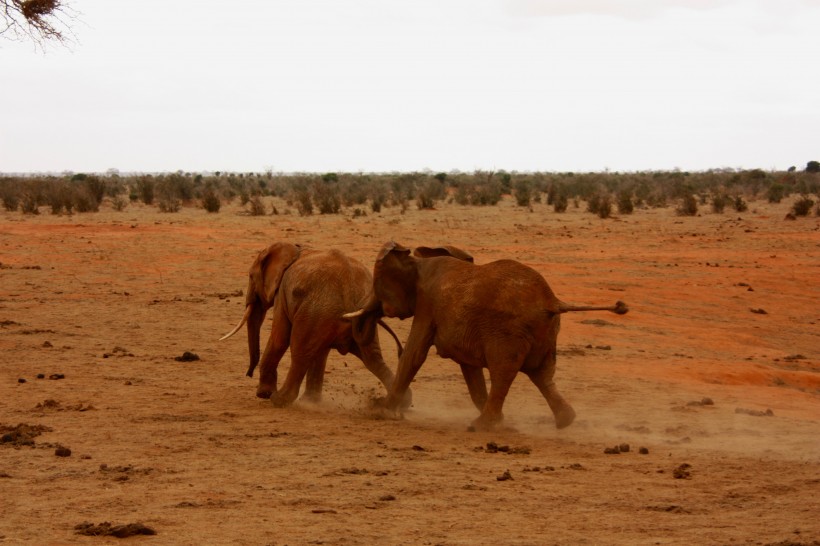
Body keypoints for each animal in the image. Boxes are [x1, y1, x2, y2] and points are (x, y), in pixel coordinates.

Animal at [221, 240, 410, 406]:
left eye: (250, 276)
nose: (248, 374)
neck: (294, 248)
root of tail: (350, 289)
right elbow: (320, 352)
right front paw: (310, 401)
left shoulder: (282, 293)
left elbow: (280, 338)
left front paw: (264, 394)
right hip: (347, 318)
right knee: (373, 358)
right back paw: (399, 402)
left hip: (316, 311)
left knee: (300, 352)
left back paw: (279, 400)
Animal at [344, 241, 628, 430]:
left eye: (377, 286)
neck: (417, 263)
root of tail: (552, 302)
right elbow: (469, 368)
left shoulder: (427, 305)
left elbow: (415, 354)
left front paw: (381, 411)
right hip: (545, 333)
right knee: (543, 375)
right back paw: (563, 421)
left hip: (509, 333)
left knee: (504, 372)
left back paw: (481, 425)